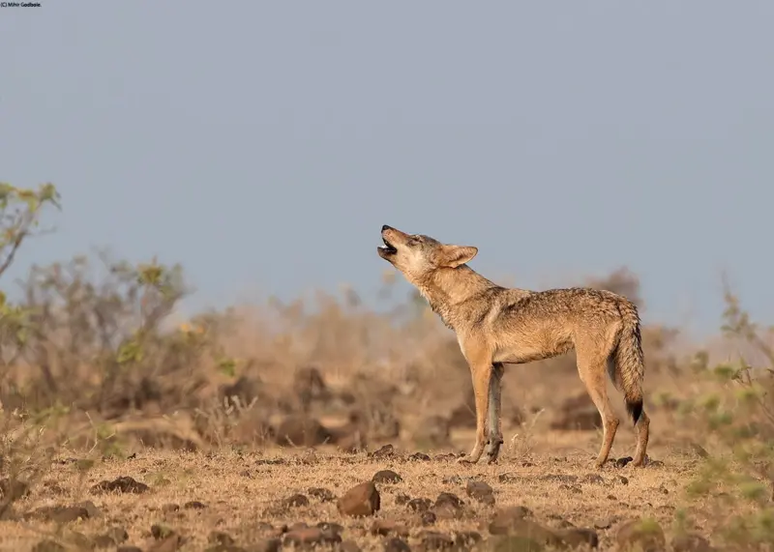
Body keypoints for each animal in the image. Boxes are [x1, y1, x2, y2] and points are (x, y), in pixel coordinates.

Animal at [378, 224, 652, 466]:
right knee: (644, 419)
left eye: (415, 239)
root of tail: (621, 300)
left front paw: (472, 458)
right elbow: (494, 423)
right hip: (619, 376)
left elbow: (481, 422)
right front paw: (490, 457)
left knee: (612, 419)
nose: (384, 225)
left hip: (588, 372)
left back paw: (598, 463)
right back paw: (636, 463)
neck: (462, 299)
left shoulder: (479, 368)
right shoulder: (497, 369)